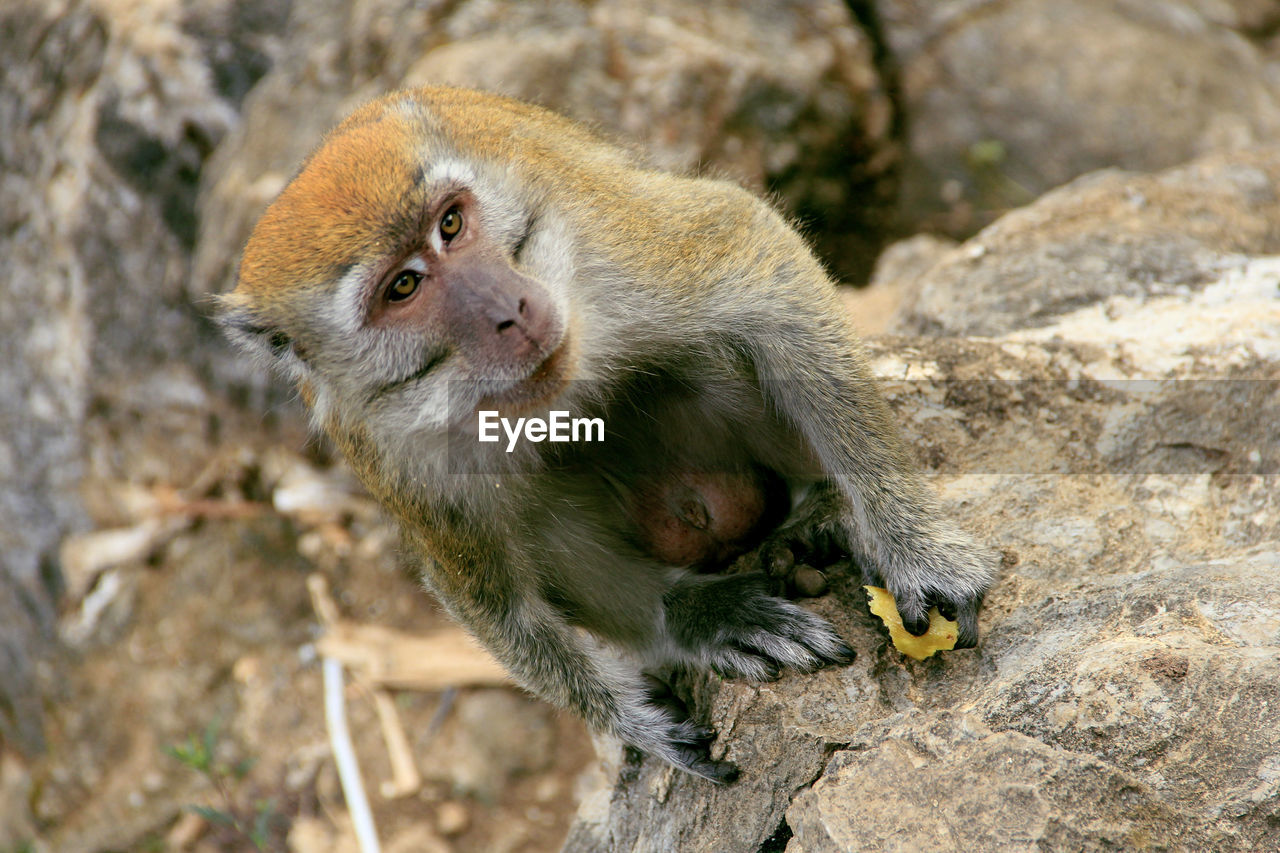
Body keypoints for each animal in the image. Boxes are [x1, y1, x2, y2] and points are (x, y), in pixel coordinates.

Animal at [220, 86, 993, 783]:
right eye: (402, 288)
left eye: (451, 225)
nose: (507, 308)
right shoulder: (389, 445)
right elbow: (485, 588)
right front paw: (633, 716)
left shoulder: (599, 248)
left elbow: (757, 265)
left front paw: (910, 543)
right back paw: (695, 610)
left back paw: (819, 514)